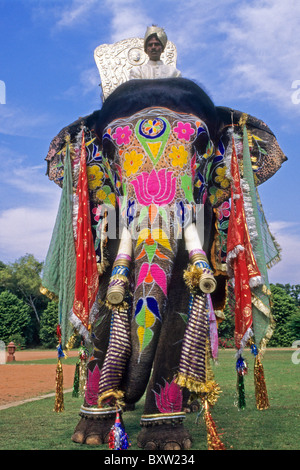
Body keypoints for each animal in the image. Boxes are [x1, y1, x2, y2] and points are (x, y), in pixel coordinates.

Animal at [42, 78, 286, 452]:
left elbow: (180, 301)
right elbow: (103, 298)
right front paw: (90, 434)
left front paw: (164, 441)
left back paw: (189, 404)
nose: (119, 399)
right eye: (108, 148)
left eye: (201, 143)